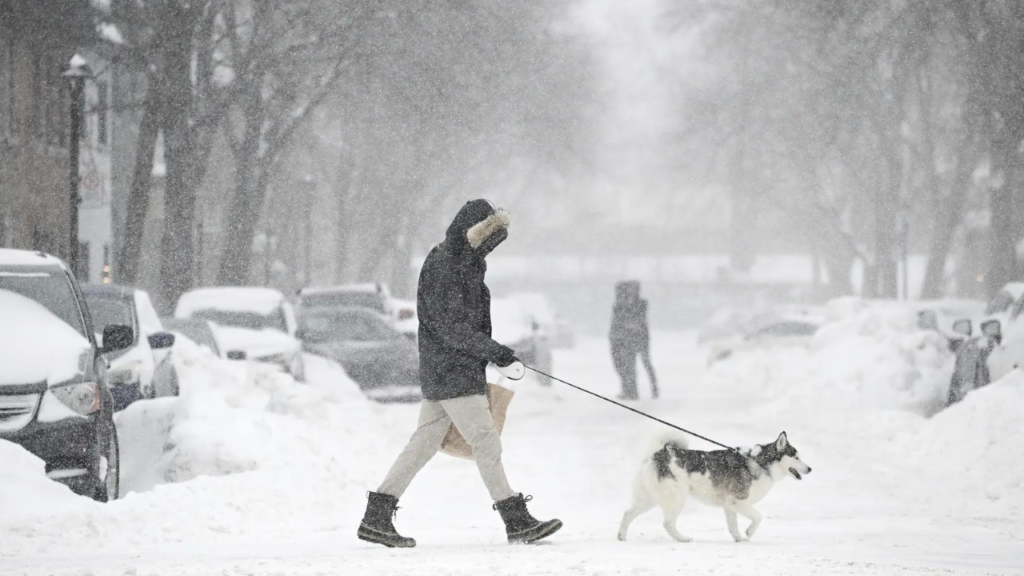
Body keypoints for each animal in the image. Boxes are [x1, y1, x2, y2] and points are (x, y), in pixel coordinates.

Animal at [618, 432, 811, 541]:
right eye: (796, 457)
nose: (810, 468)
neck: (759, 462)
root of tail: (658, 454)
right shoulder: (738, 501)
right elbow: (758, 517)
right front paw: (749, 533)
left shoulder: (730, 505)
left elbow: (733, 526)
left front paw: (739, 539)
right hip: (675, 499)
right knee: (667, 524)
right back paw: (682, 539)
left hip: (649, 498)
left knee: (628, 513)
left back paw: (621, 536)